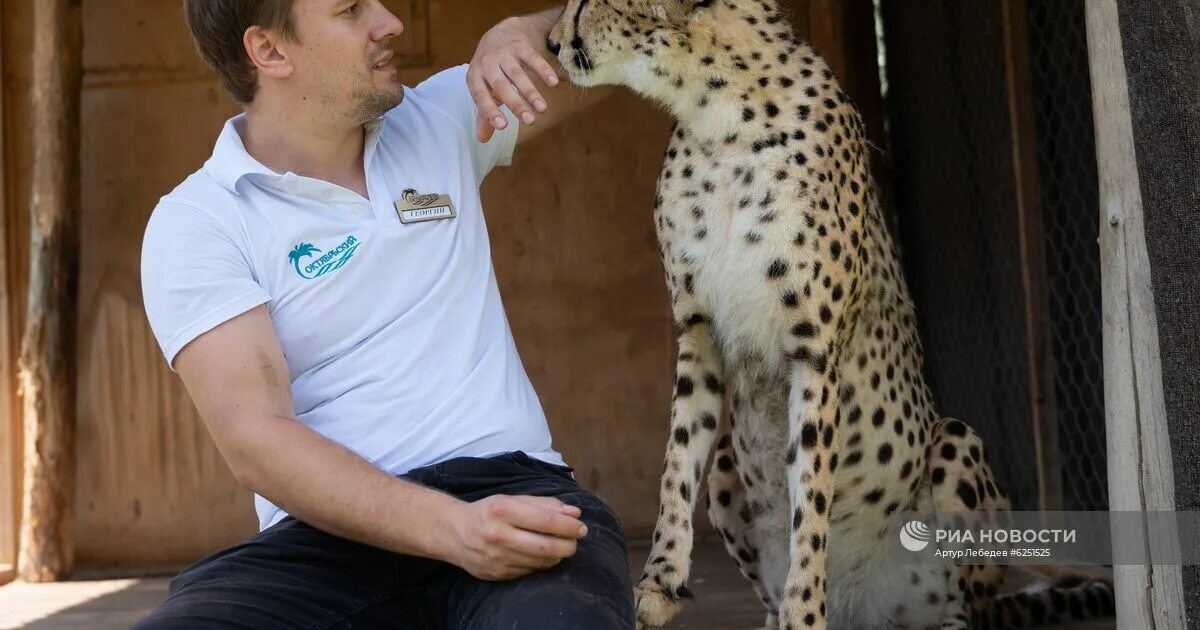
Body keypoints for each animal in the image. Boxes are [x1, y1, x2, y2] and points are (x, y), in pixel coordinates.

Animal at [549, 1, 1113, 628]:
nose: (550, 43)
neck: (717, 114)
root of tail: (865, 612)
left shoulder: (814, 351)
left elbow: (810, 499)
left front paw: (804, 610)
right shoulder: (697, 334)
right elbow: (677, 462)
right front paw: (659, 583)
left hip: (955, 447)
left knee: (966, 602)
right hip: (728, 467)